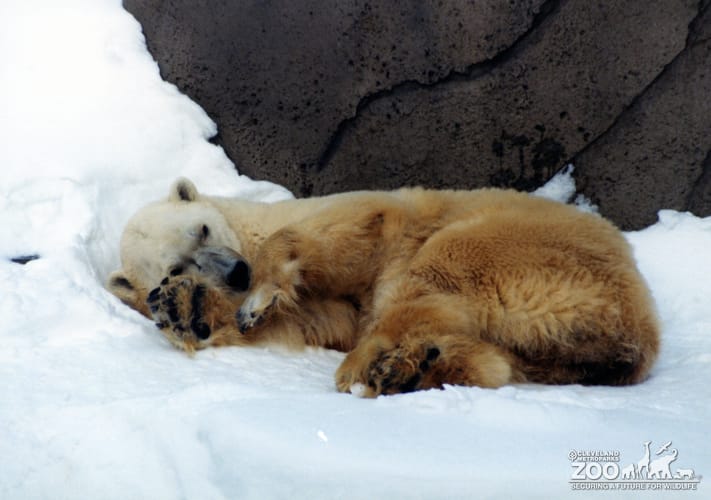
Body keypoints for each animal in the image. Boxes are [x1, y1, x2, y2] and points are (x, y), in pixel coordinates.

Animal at [108, 178, 660, 397]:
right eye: (173, 266)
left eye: (202, 229)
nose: (237, 275)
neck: (249, 226)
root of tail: (641, 331)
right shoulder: (331, 303)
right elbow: (325, 316)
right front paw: (186, 307)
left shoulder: (368, 217)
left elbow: (353, 229)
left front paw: (256, 298)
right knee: (491, 355)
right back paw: (414, 367)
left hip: (525, 246)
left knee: (437, 267)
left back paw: (373, 365)